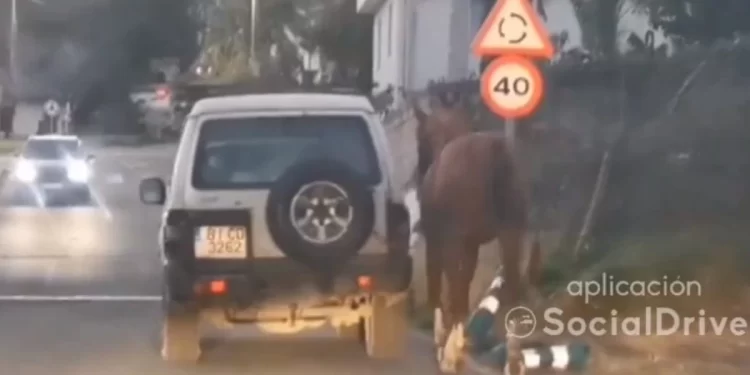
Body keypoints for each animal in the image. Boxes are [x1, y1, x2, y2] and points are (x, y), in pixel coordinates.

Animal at [412, 100, 540, 374]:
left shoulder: (441, 240)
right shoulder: (471, 244)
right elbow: (465, 281)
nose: (418, 170)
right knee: (512, 285)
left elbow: (439, 280)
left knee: (451, 282)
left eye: (420, 135)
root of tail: (496, 152)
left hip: (455, 240)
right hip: (512, 233)